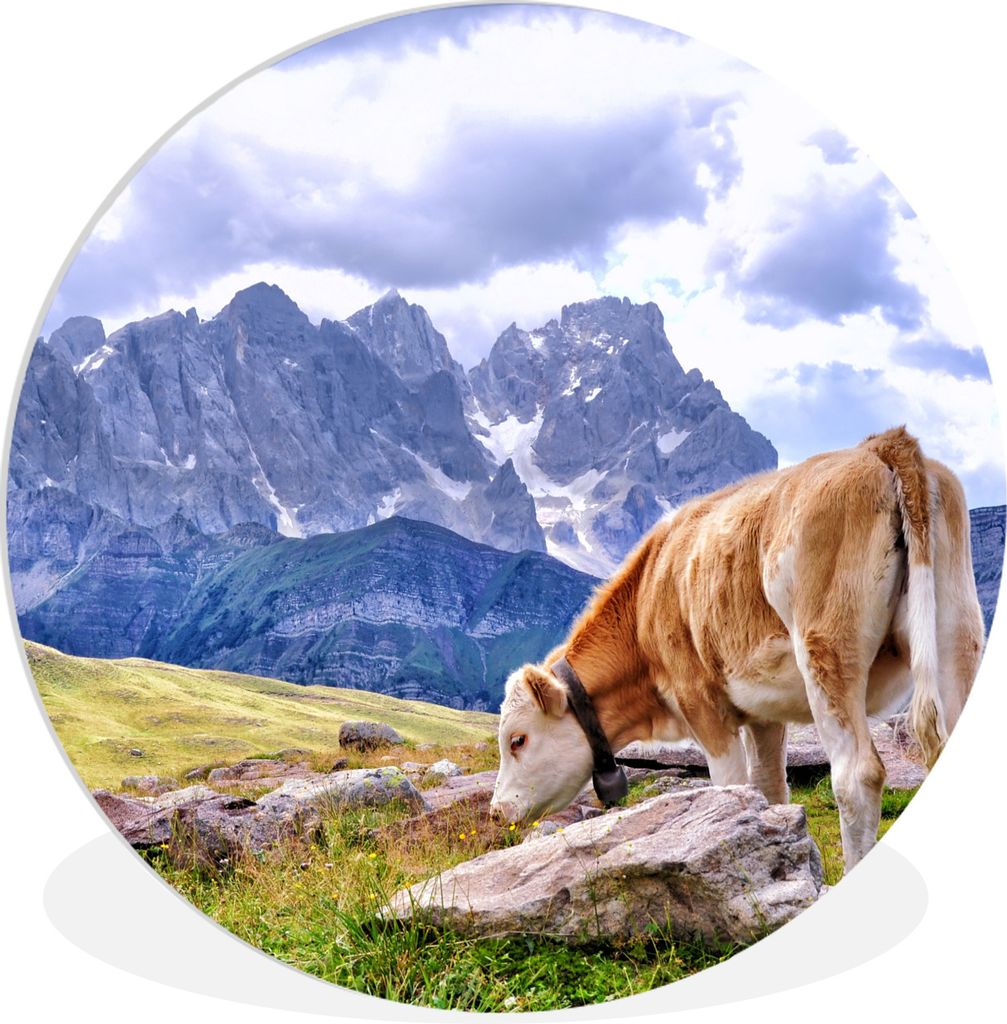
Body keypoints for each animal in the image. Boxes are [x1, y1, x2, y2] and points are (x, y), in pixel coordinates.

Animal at [489, 427, 986, 872]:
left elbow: (729, 790)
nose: (496, 812)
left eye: (517, 739)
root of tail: (882, 445)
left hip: (828, 650)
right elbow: (768, 790)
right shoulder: (764, 714)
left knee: (855, 776)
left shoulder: (703, 703)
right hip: (956, 633)